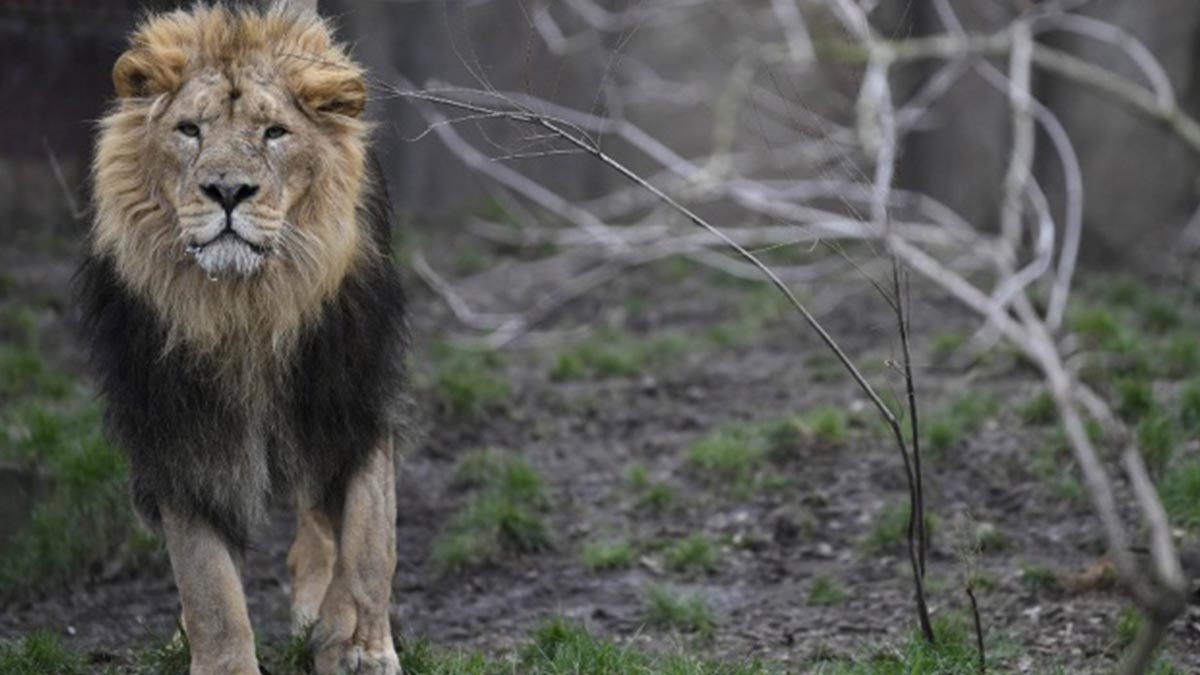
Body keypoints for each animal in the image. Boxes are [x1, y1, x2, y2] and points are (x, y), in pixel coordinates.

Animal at [78, 5, 412, 672]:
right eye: (189, 130)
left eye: (274, 133)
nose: (228, 191)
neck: (246, 307)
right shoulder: (180, 432)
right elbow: (208, 582)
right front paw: (221, 657)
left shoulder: (354, 396)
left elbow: (369, 539)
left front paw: (357, 644)